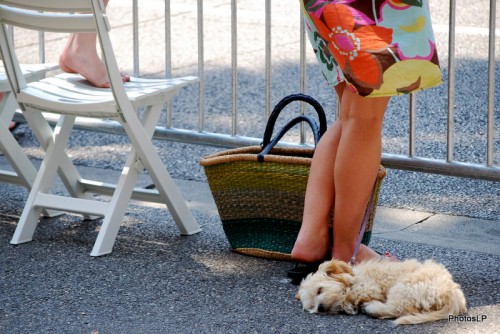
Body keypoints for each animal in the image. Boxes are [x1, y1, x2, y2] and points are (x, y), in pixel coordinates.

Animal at [294, 260, 466, 324]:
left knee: (397, 309)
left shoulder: (368, 287)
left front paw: (349, 304)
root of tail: (451, 292)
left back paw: (372, 308)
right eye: (312, 307)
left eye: (319, 290)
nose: (320, 308)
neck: (353, 278)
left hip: (405, 287)